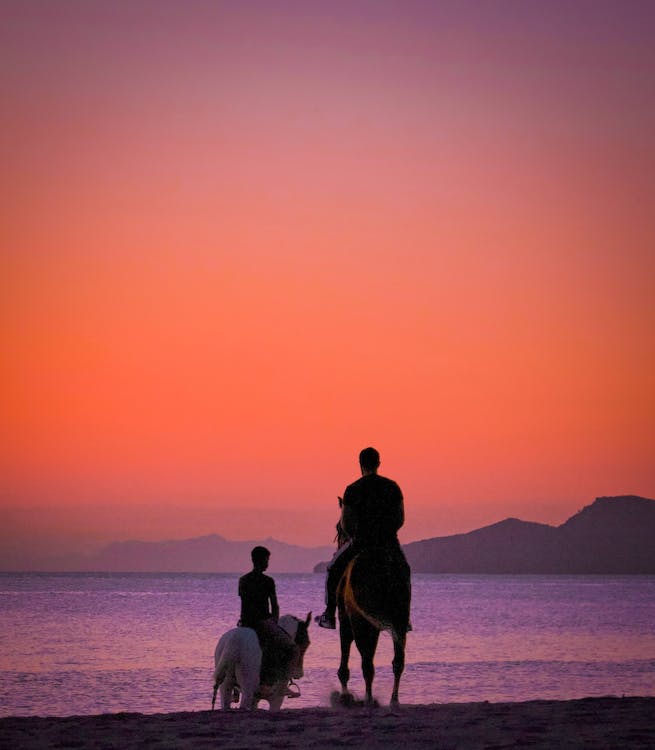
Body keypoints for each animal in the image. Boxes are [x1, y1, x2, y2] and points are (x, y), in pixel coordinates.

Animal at [338, 548, 410, 712]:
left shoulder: (347, 622)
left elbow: (345, 663)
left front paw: (345, 698)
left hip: (361, 624)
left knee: (367, 663)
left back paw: (368, 700)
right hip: (398, 621)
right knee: (398, 661)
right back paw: (394, 701)